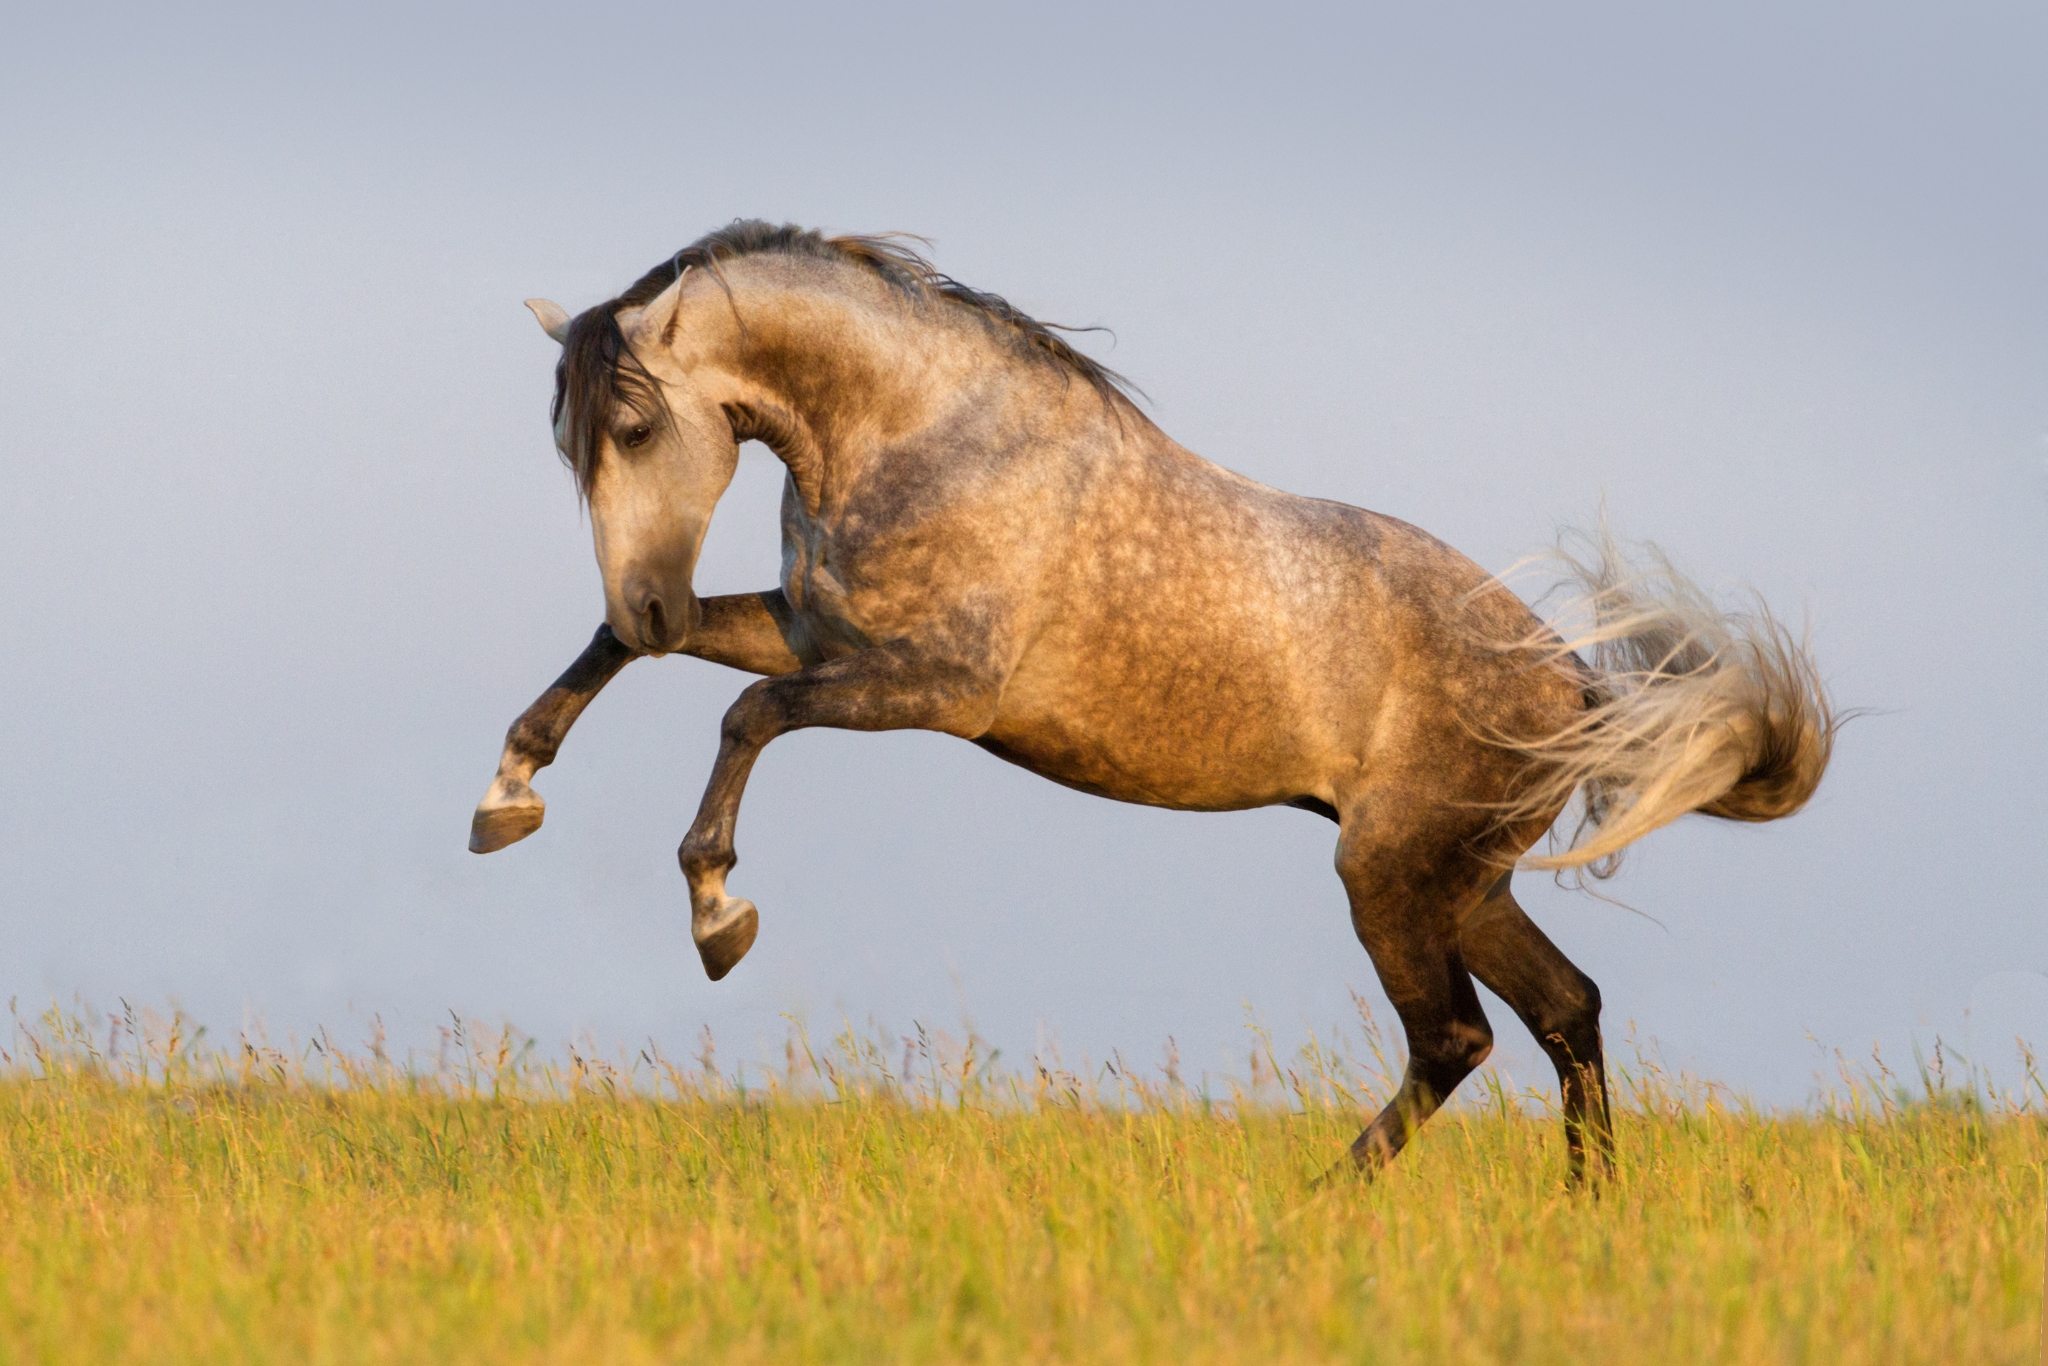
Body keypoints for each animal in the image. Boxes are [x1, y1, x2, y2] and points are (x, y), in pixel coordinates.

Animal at [469, 221, 1836, 1181]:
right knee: (1563, 1012)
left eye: (635, 427)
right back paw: (1583, 1213)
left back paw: (1306, 1212)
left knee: (1454, 1038)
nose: (653, 592)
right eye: (570, 444)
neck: (920, 436)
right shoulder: (815, 634)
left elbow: (744, 716)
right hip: (1464, 875)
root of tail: (1571, 678)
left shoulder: (933, 687)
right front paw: (506, 797)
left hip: (1391, 871)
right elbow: (622, 657)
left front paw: (719, 915)